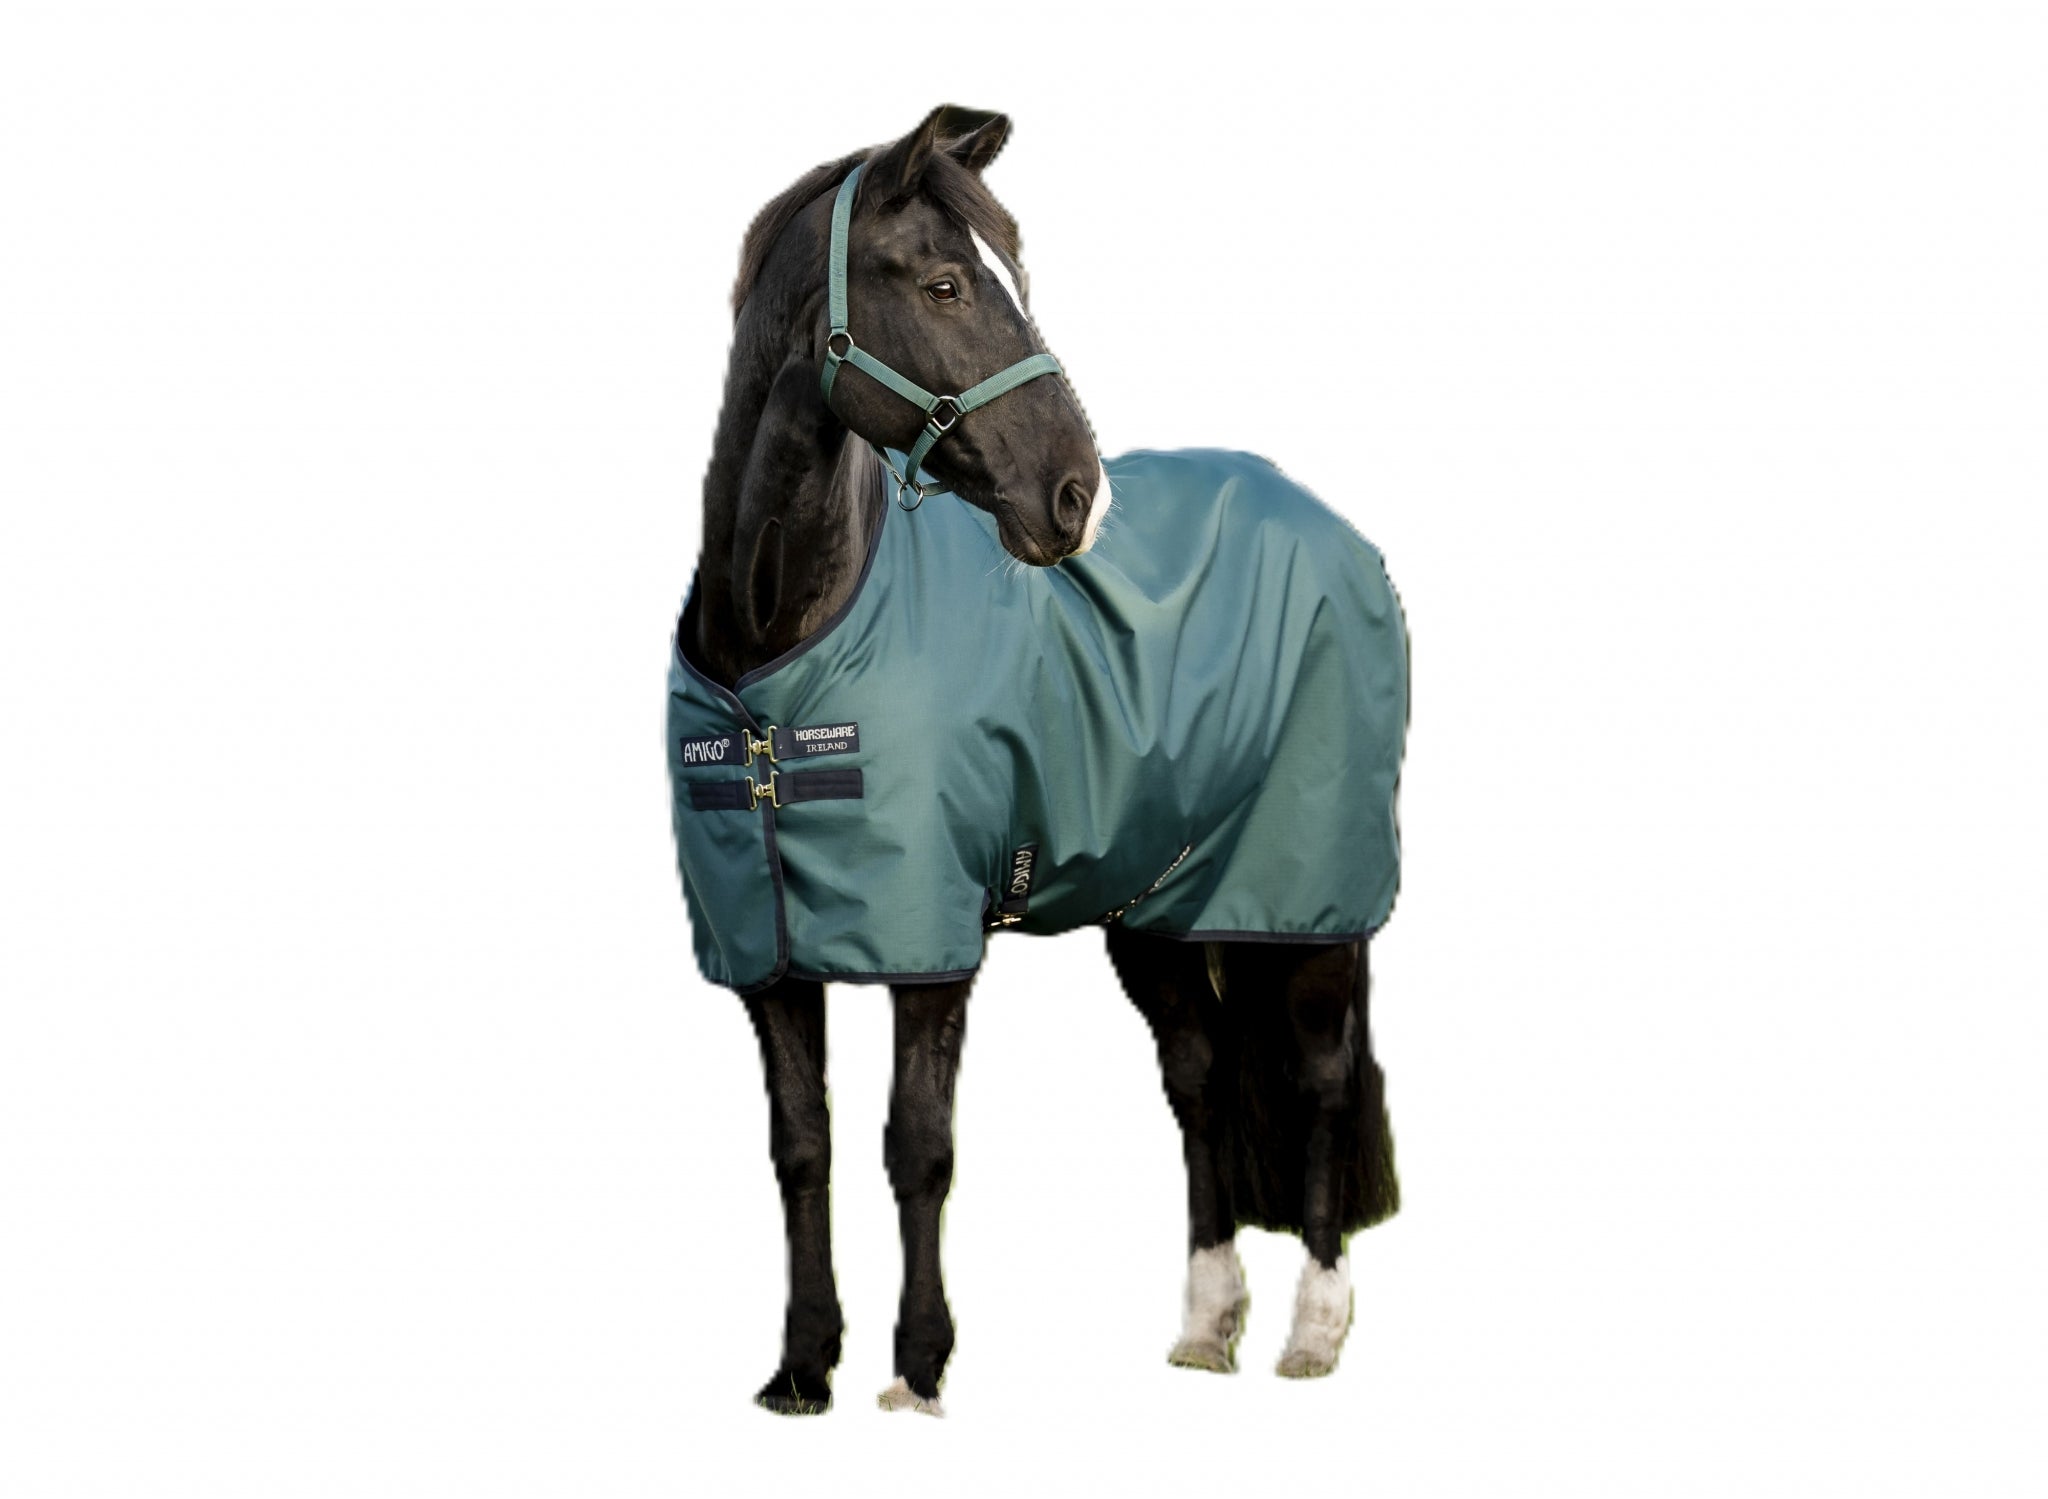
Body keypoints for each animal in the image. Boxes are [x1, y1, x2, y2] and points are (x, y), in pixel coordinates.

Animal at [668, 105, 1406, 1415]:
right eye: (946, 283)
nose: (1073, 497)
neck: (776, 655)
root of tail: (1336, 529)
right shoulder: (766, 951)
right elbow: (800, 1145)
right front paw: (802, 1364)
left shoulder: (929, 943)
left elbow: (917, 1144)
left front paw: (917, 1365)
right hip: (1161, 904)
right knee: (1197, 1074)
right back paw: (1205, 1322)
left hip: (1311, 899)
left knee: (1320, 1081)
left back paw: (1313, 1329)